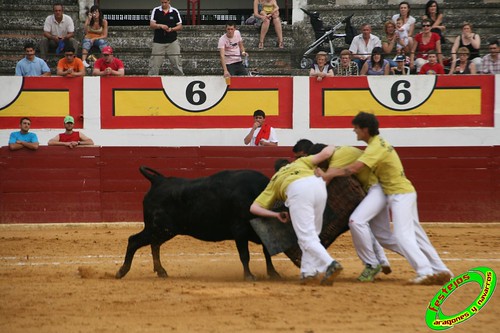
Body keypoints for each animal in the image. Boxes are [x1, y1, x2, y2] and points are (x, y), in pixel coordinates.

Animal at [116, 165, 366, 278]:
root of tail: (158, 180)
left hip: (164, 229)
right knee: (134, 240)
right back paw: (122, 271)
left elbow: (266, 251)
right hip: (159, 227)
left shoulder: (257, 233)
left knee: (153, 245)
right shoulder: (239, 232)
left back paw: (161, 271)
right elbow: (245, 255)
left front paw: (273, 273)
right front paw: (249, 275)